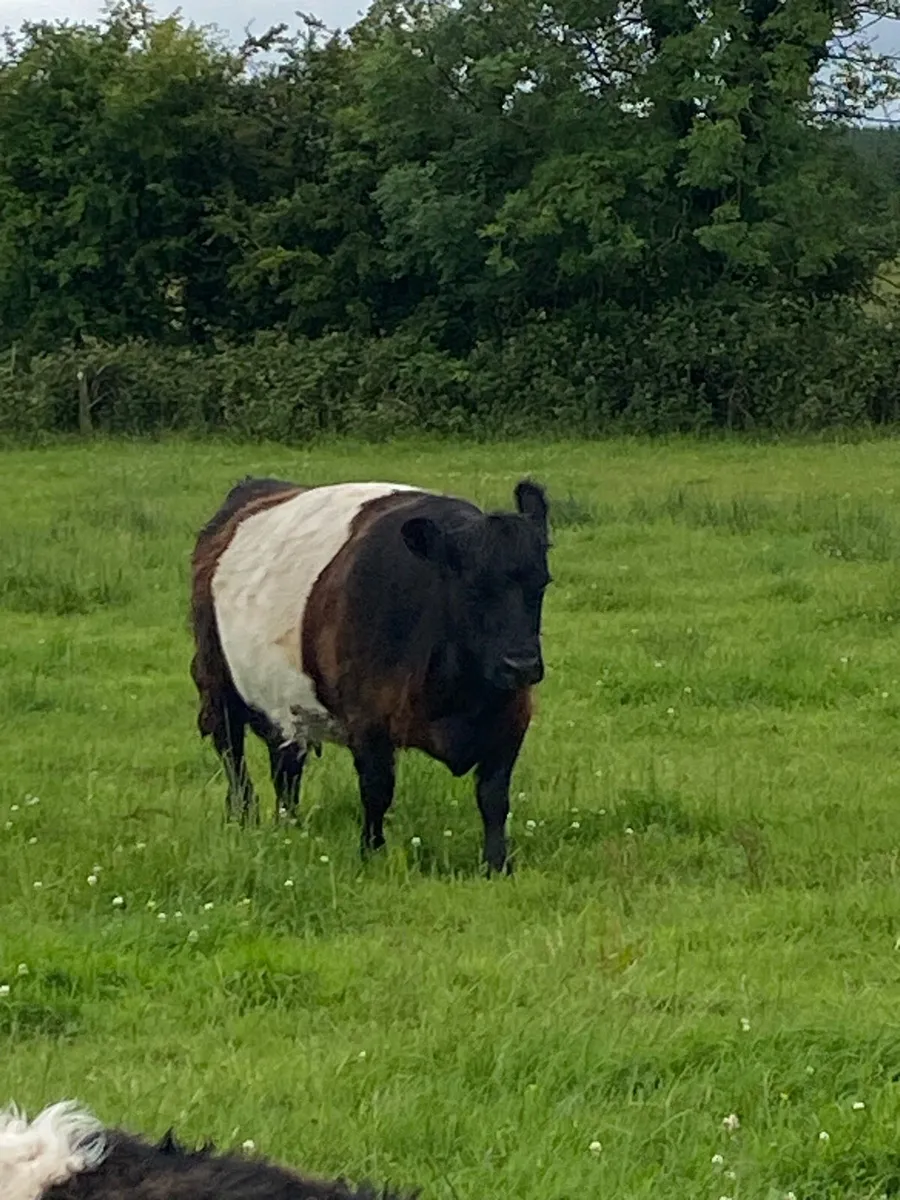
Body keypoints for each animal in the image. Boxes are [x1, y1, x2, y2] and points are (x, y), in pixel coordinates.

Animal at [189, 476, 551, 873]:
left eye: (542, 583)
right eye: (472, 588)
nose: (521, 664)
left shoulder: (512, 717)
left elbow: (493, 796)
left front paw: (497, 864)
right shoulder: (368, 720)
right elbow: (377, 790)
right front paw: (372, 852)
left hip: (282, 702)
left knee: (285, 765)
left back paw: (289, 825)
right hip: (217, 685)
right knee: (232, 754)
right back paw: (245, 816)